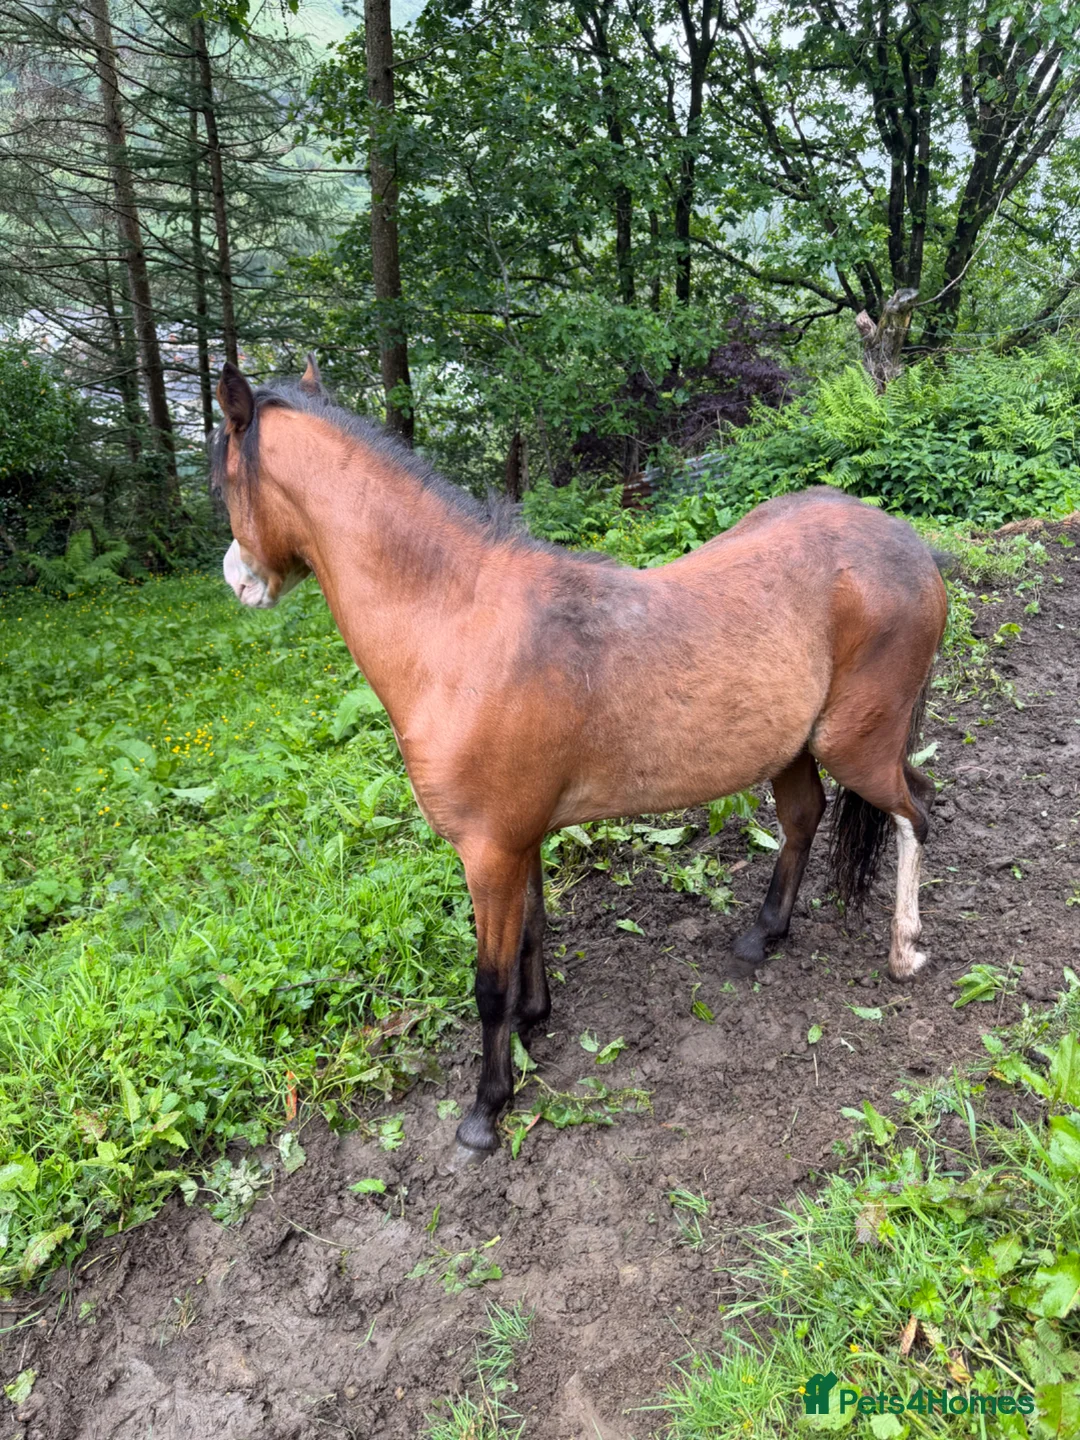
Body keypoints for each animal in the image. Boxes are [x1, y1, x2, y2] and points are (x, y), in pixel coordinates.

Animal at [212, 357, 948, 1159]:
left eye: (224, 481)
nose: (239, 581)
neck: (460, 624)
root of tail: (911, 549)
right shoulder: (517, 841)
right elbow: (532, 934)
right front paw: (535, 1021)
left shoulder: (488, 851)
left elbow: (489, 982)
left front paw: (485, 1110)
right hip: (795, 748)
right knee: (810, 817)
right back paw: (763, 935)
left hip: (856, 746)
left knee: (915, 811)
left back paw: (906, 951)